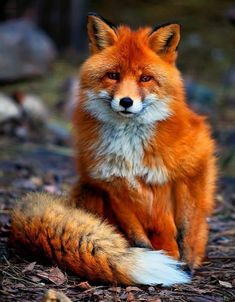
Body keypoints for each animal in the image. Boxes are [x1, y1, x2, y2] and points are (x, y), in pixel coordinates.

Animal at [11, 13, 217, 286]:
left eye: (145, 78)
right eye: (113, 75)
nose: (126, 102)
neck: (130, 149)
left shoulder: (192, 166)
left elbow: (186, 227)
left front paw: (186, 261)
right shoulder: (111, 184)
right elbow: (138, 237)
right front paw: (157, 260)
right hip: (89, 190)